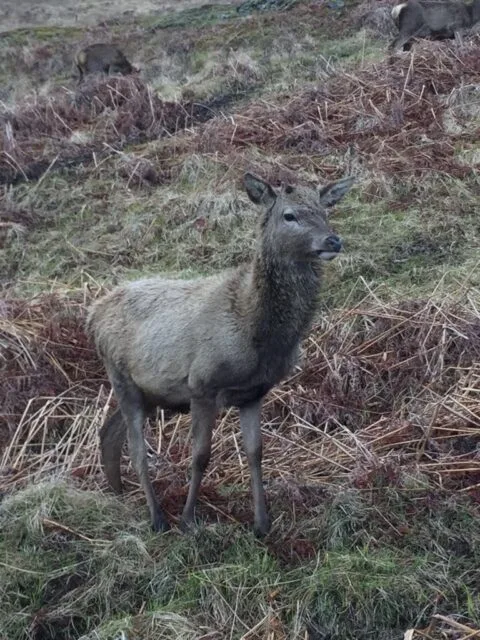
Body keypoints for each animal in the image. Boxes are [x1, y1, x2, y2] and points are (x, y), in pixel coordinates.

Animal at [87, 172, 355, 537]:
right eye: (289, 215)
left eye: (325, 211)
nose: (333, 241)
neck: (253, 331)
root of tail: (93, 313)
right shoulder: (202, 383)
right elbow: (201, 455)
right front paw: (188, 520)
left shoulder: (253, 393)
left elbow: (256, 452)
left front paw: (262, 524)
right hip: (120, 376)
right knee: (138, 449)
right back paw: (157, 518)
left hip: (152, 393)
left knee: (110, 431)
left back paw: (117, 492)